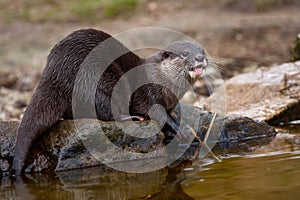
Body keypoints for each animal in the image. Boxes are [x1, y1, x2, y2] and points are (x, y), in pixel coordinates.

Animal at [12, 28, 209, 175]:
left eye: (202, 51)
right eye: (185, 53)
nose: (200, 58)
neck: (161, 79)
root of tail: (56, 75)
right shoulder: (151, 93)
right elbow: (159, 115)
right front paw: (181, 130)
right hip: (102, 80)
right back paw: (132, 117)